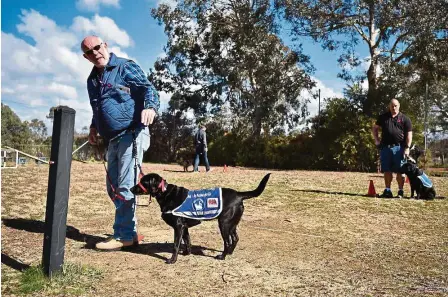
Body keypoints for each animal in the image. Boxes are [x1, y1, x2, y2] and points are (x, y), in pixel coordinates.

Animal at [130, 172, 270, 262]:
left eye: (143, 182)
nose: (131, 189)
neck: (165, 193)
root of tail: (239, 195)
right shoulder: (184, 227)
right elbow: (187, 241)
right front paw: (187, 253)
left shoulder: (178, 227)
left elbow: (176, 244)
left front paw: (172, 260)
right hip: (232, 224)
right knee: (235, 239)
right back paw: (230, 252)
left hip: (224, 224)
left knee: (227, 241)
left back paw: (222, 256)